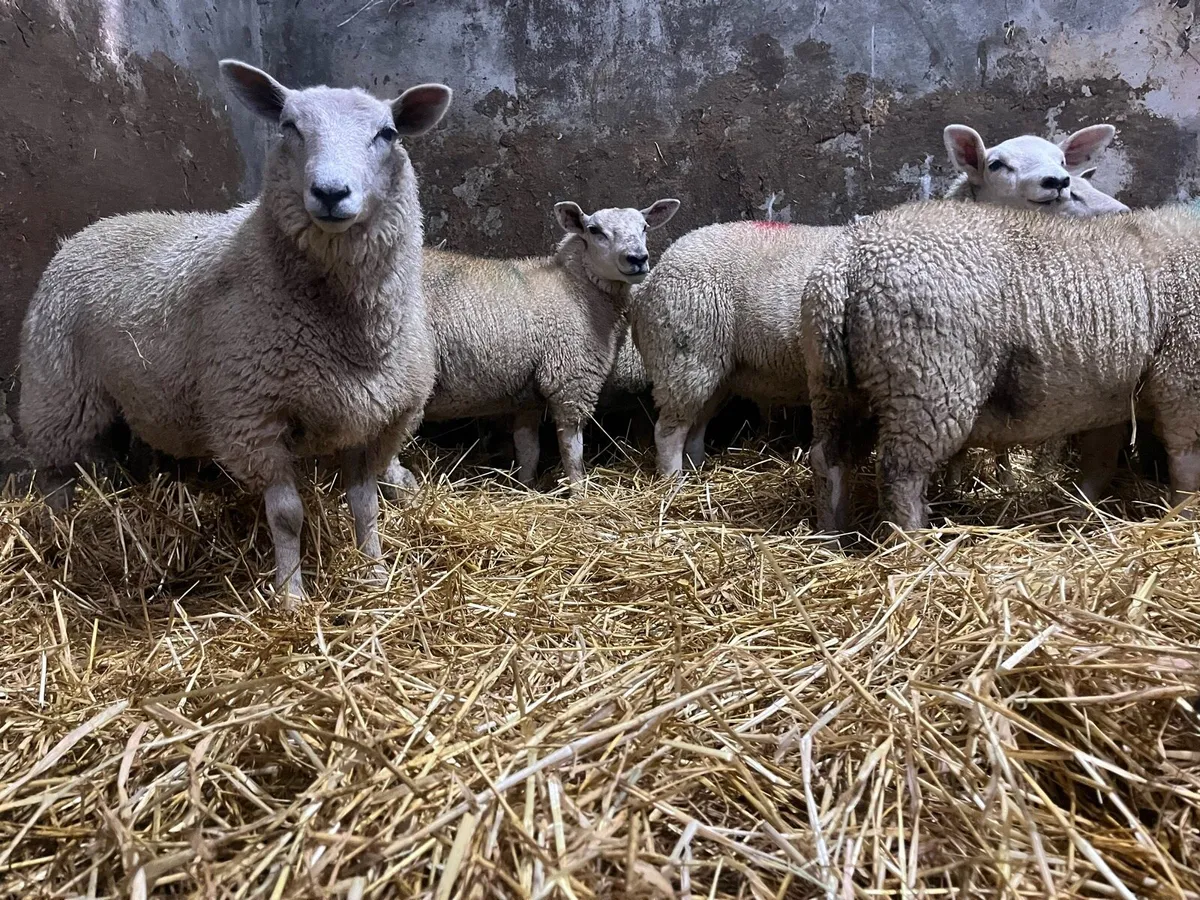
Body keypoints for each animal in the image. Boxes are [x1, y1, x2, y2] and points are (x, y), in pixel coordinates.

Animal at [17, 60, 452, 607]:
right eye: (289, 127)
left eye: (387, 133)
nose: (331, 193)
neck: (348, 329)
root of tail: (95, 226)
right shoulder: (253, 417)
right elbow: (287, 516)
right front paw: (292, 596)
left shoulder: (375, 418)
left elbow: (365, 504)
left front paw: (374, 574)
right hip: (57, 389)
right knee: (54, 476)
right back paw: (59, 539)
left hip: (138, 391)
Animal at [383, 198, 679, 492]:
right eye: (594, 230)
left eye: (644, 227)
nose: (637, 259)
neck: (575, 289)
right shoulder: (571, 380)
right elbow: (573, 452)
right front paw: (579, 491)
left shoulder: (527, 395)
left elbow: (528, 450)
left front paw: (526, 488)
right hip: (404, 380)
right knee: (388, 463)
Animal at [633, 123, 1127, 478]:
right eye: (997, 164)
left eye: (1062, 159)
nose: (1056, 181)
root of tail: (660, 268)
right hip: (686, 349)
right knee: (668, 430)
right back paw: (673, 485)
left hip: (716, 365)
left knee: (694, 425)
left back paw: (697, 473)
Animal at [802, 200, 1200, 534]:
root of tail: (846, 262)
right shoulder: (1184, 382)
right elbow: (1187, 468)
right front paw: (1185, 520)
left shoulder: (1113, 398)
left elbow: (1099, 461)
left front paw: (1080, 511)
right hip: (926, 382)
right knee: (900, 473)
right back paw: (913, 543)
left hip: (836, 385)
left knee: (828, 457)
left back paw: (833, 535)